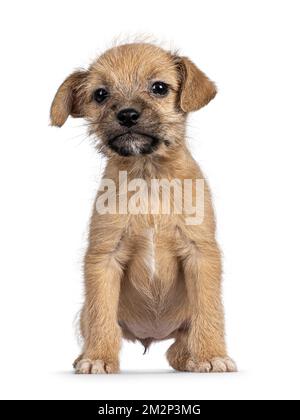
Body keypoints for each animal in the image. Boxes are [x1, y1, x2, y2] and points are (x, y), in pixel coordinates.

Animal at [49, 42, 237, 374]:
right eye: (100, 94)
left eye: (159, 87)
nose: (127, 114)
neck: (148, 176)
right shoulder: (104, 257)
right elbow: (101, 316)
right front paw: (98, 358)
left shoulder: (201, 254)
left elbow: (209, 311)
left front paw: (211, 355)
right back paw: (85, 355)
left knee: (177, 348)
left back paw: (191, 357)